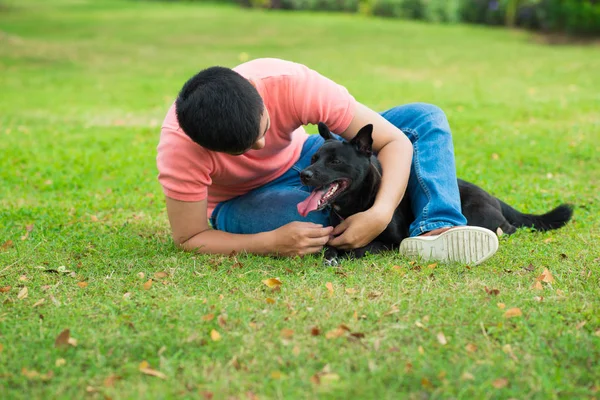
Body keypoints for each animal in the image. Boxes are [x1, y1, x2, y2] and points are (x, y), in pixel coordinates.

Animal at [298, 120, 576, 260]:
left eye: (335, 162)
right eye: (313, 158)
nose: (304, 174)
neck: (358, 204)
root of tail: (493, 197)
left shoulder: (393, 243)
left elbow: (365, 247)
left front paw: (347, 253)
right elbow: (328, 246)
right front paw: (332, 253)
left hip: (478, 215)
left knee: (508, 228)